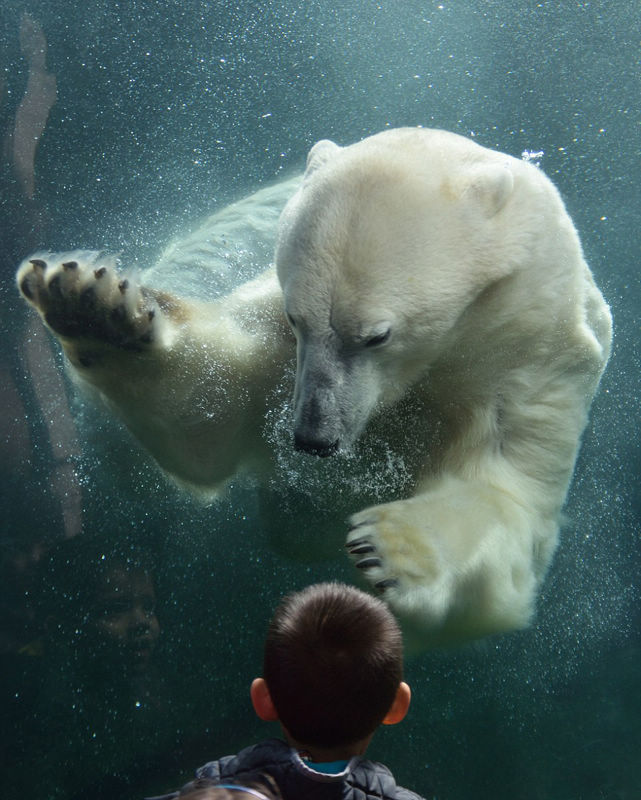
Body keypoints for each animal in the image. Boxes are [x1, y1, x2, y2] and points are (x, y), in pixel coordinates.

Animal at [15, 128, 608, 648]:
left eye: (377, 335)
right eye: (296, 316)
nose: (313, 436)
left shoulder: (525, 363)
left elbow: (508, 500)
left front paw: (389, 548)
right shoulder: (283, 350)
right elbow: (212, 413)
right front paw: (89, 308)